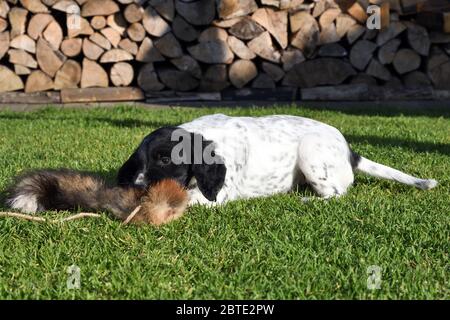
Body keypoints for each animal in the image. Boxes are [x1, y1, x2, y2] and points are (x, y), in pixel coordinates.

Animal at [116, 114, 436, 206]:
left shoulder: (217, 195)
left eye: (165, 160)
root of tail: (349, 152)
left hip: (310, 152)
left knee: (337, 193)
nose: (136, 188)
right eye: (138, 162)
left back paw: (307, 200)